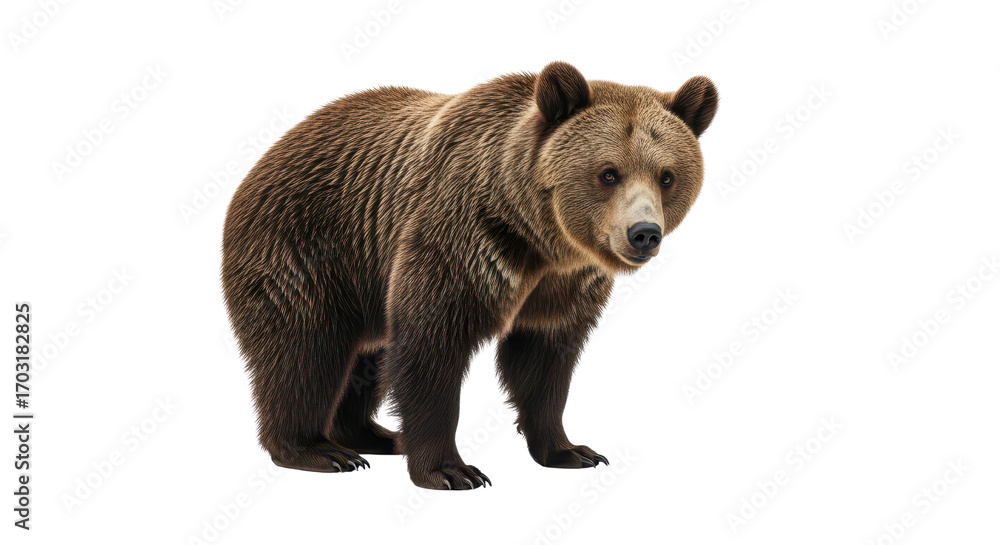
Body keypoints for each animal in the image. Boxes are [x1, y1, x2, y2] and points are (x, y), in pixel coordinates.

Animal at [222, 61, 717, 490]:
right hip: (309, 248)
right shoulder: (461, 239)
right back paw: (318, 449)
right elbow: (430, 347)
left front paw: (571, 450)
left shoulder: (561, 286)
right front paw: (451, 470)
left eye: (667, 176)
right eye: (608, 173)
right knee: (305, 349)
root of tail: (267, 156)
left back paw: (371, 435)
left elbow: (544, 361)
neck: (537, 237)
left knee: (366, 354)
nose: (643, 233)